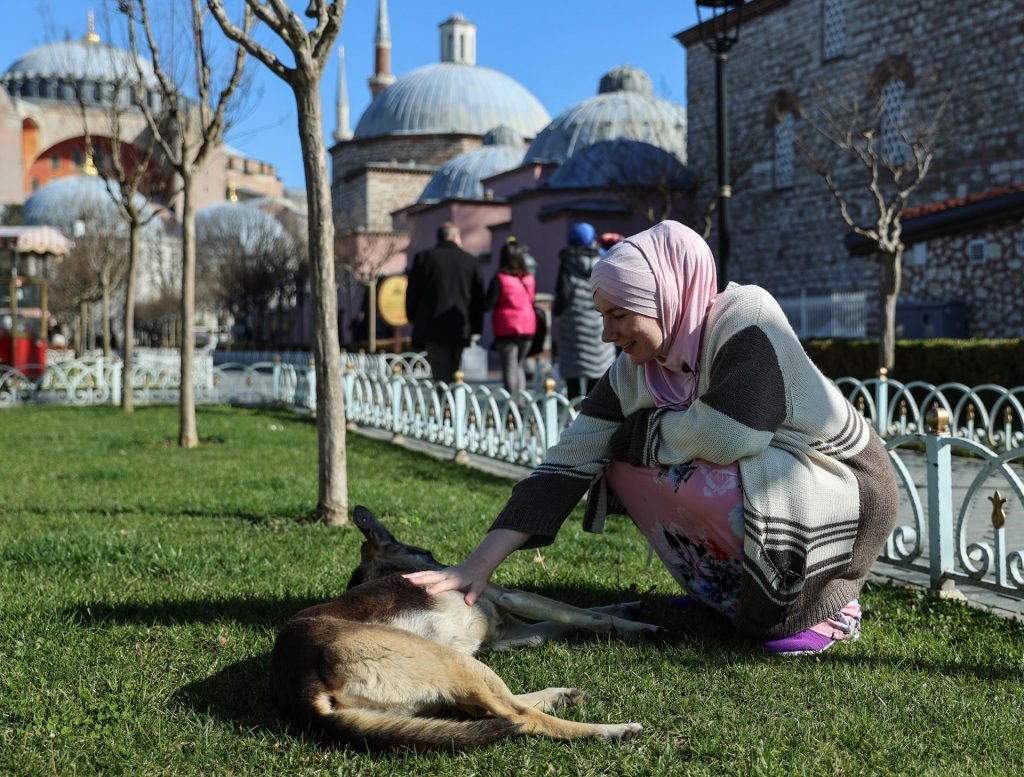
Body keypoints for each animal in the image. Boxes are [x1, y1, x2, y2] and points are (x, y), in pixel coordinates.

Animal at [268, 507, 659, 749]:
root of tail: (300, 683)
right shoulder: (513, 598)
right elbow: (581, 614)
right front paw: (636, 625)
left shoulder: (509, 633)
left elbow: (565, 620)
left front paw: (625, 609)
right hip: (454, 661)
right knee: (517, 716)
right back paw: (613, 731)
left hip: (435, 685)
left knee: (490, 708)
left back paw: (559, 696)